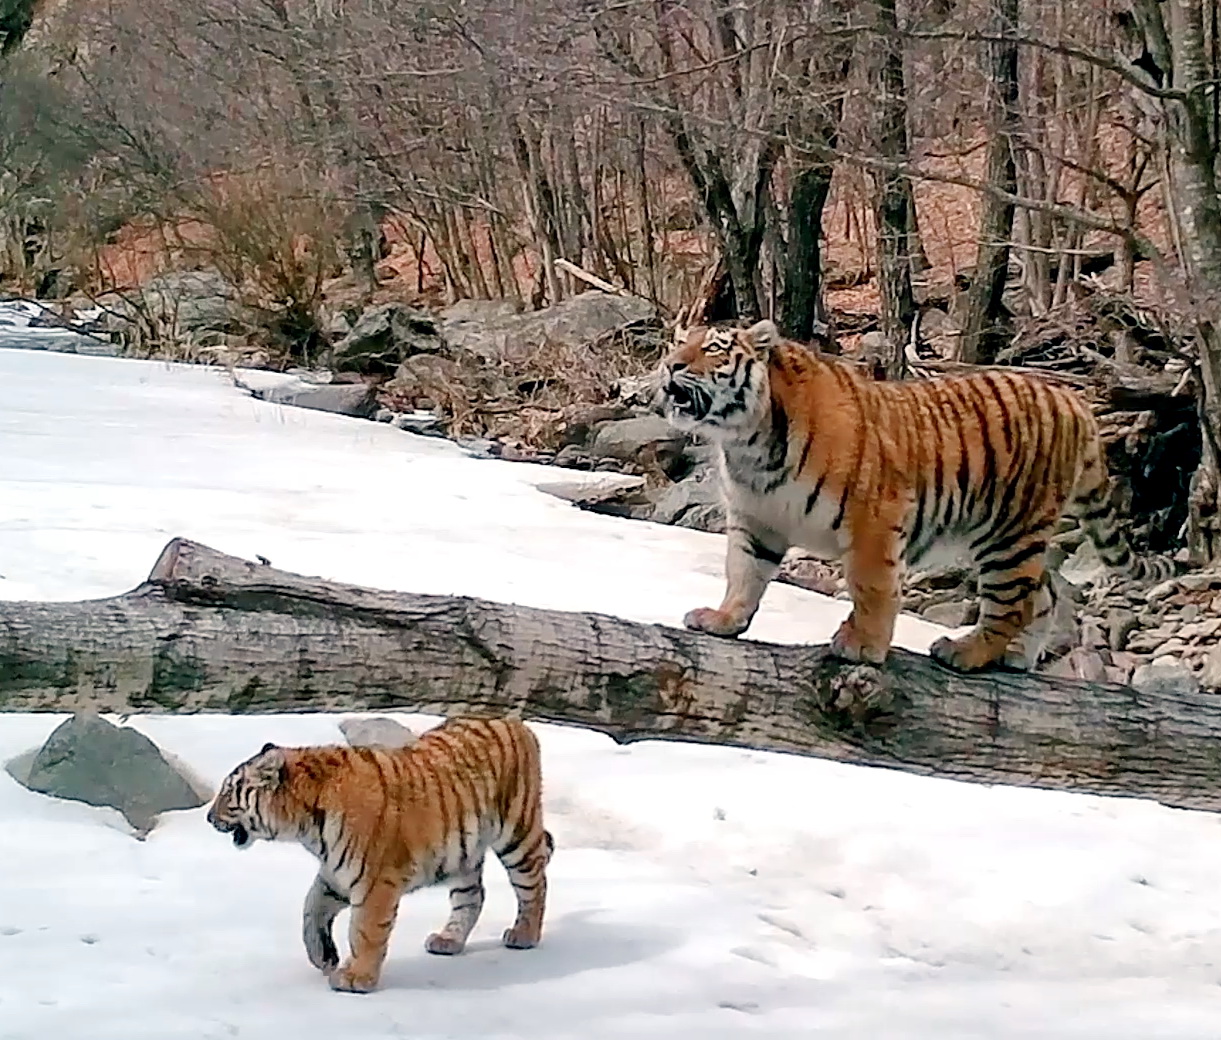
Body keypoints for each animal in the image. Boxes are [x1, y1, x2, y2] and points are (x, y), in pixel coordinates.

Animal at [208, 712, 554, 991]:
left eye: (228, 792)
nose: (209, 817)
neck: (305, 827)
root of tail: (512, 721)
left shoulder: (375, 881)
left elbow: (364, 930)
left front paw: (355, 978)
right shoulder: (334, 873)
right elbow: (310, 908)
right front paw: (323, 956)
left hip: (517, 833)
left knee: (534, 884)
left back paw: (524, 935)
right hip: (463, 854)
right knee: (472, 896)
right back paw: (448, 941)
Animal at [664, 319, 1177, 673]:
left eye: (712, 348)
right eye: (676, 342)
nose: (669, 364)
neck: (747, 444)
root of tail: (1074, 401)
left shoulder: (872, 519)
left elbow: (871, 587)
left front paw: (863, 646)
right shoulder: (756, 520)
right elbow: (743, 573)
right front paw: (723, 619)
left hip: (1008, 534)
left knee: (1012, 603)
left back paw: (966, 652)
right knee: (1045, 592)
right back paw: (1015, 657)